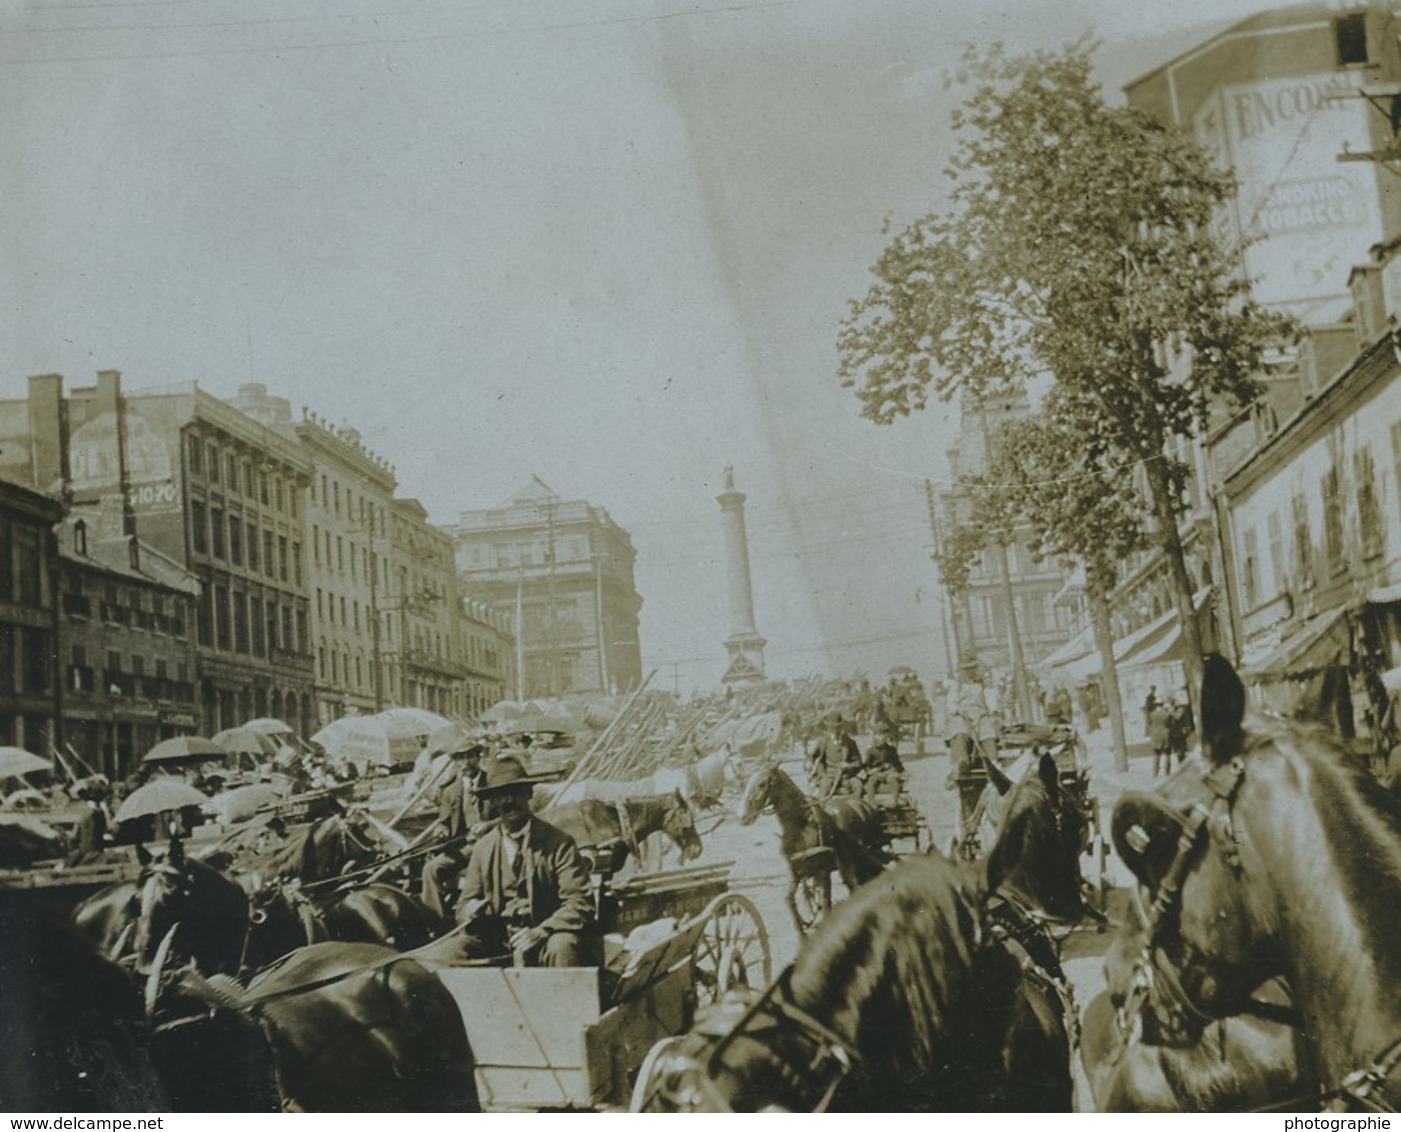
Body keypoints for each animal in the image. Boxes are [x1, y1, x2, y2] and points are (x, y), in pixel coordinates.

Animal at [739, 762, 879, 935]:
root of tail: (862, 804)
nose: (743, 816)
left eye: (762, 783)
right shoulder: (795, 870)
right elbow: (789, 900)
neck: (801, 826)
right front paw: (801, 932)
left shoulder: (823, 871)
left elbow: (825, 904)